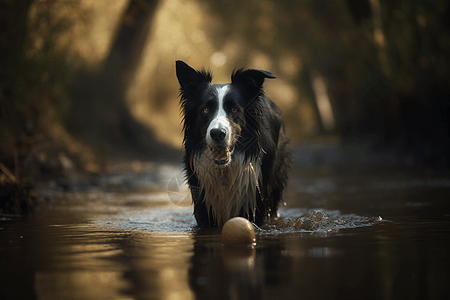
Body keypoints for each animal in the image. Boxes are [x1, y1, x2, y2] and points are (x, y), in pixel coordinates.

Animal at [174, 59, 290, 226]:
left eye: (234, 110)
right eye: (205, 110)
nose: (217, 133)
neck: (224, 170)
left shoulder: (257, 202)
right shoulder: (203, 204)